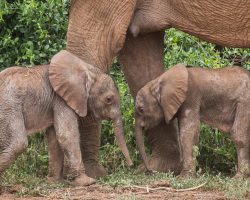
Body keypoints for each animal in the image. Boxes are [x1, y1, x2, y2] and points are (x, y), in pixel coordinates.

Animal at [0, 50, 133, 186]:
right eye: (108, 99)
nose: (131, 165)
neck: (86, 70)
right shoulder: (61, 100)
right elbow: (67, 135)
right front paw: (87, 182)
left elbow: (54, 138)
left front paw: (56, 182)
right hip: (9, 105)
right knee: (19, 143)